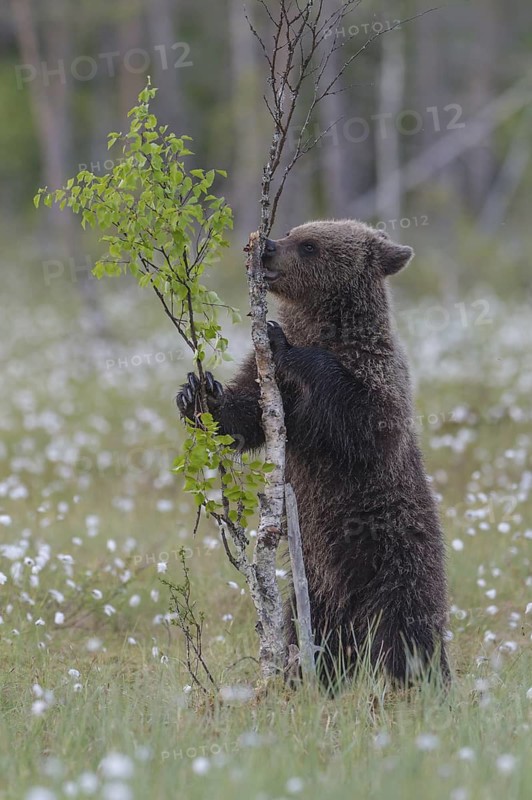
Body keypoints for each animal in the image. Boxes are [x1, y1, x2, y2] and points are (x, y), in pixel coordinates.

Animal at [177, 219, 450, 688]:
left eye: (309, 245)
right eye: (292, 231)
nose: (266, 246)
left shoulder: (377, 374)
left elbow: (364, 421)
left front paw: (281, 339)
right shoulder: (267, 383)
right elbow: (244, 415)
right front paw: (199, 392)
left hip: (398, 554)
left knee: (409, 629)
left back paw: (423, 681)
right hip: (318, 587)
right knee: (313, 635)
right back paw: (307, 678)